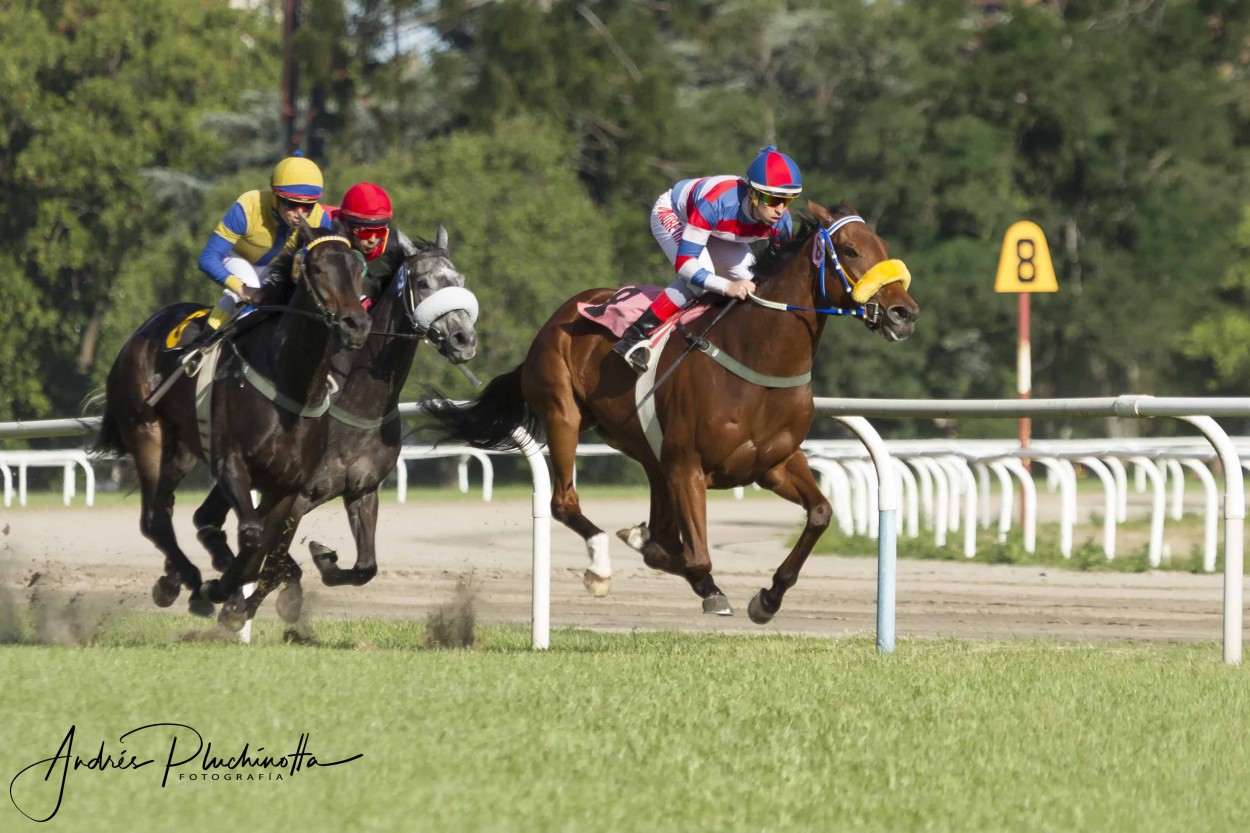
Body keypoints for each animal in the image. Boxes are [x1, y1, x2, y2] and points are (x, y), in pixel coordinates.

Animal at [95, 222, 367, 622]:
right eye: (317, 268)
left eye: (357, 267)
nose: (356, 324)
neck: (291, 383)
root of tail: (140, 334)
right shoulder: (231, 464)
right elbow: (251, 533)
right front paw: (222, 588)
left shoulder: (289, 483)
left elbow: (263, 542)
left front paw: (236, 595)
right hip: (145, 431)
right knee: (152, 519)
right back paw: (193, 583)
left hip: (181, 449)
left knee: (163, 507)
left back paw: (178, 581)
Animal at [190, 223, 477, 620]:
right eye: (422, 283)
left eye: (460, 279)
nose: (464, 339)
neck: (360, 404)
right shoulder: (297, 495)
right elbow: (272, 559)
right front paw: (240, 604)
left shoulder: (362, 491)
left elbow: (365, 567)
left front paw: (322, 561)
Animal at [420, 200, 920, 615]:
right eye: (851, 251)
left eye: (884, 247)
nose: (904, 313)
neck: (757, 358)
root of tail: (558, 317)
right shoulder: (687, 466)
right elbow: (695, 556)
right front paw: (685, 572)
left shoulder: (773, 463)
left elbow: (819, 514)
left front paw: (768, 597)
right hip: (564, 413)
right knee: (564, 501)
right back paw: (601, 566)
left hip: (648, 451)